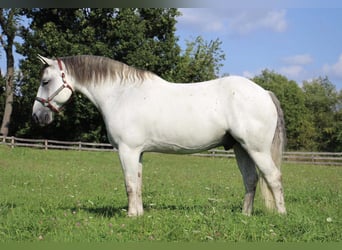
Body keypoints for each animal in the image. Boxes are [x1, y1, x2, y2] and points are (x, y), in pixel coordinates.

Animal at [32, 54, 288, 217]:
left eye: (46, 81)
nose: (37, 116)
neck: (121, 95)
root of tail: (264, 92)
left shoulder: (127, 150)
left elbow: (129, 184)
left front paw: (130, 216)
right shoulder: (138, 152)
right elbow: (138, 183)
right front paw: (139, 214)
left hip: (256, 149)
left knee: (274, 178)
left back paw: (281, 215)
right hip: (240, 148)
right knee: (251, 180)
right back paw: (245, 216)